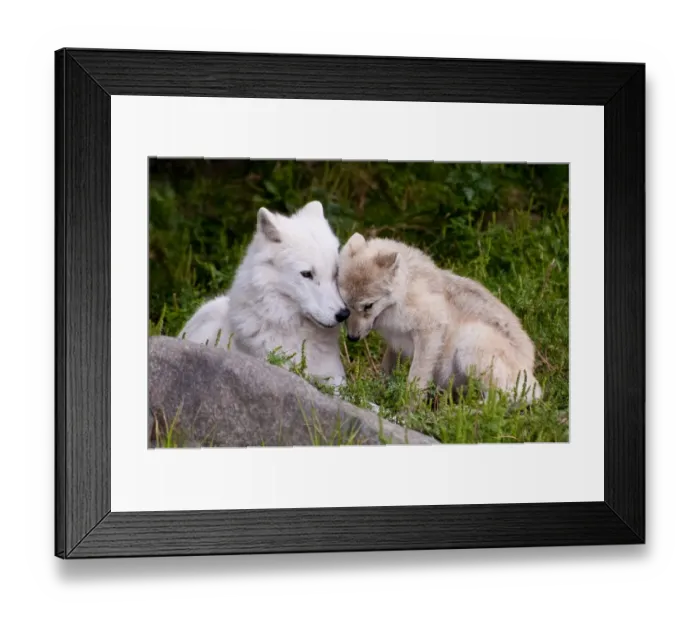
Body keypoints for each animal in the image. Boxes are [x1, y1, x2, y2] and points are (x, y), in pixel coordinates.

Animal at [337, 233, 542, 402]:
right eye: (346, 305)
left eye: (368, 306)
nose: (352, 338)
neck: (404, 294)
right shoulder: (395, 345)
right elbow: (385, 371)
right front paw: (378, 394)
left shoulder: (430, 332)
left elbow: (415, 384)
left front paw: (404, 414)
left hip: (469, 343)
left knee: (497, 401)